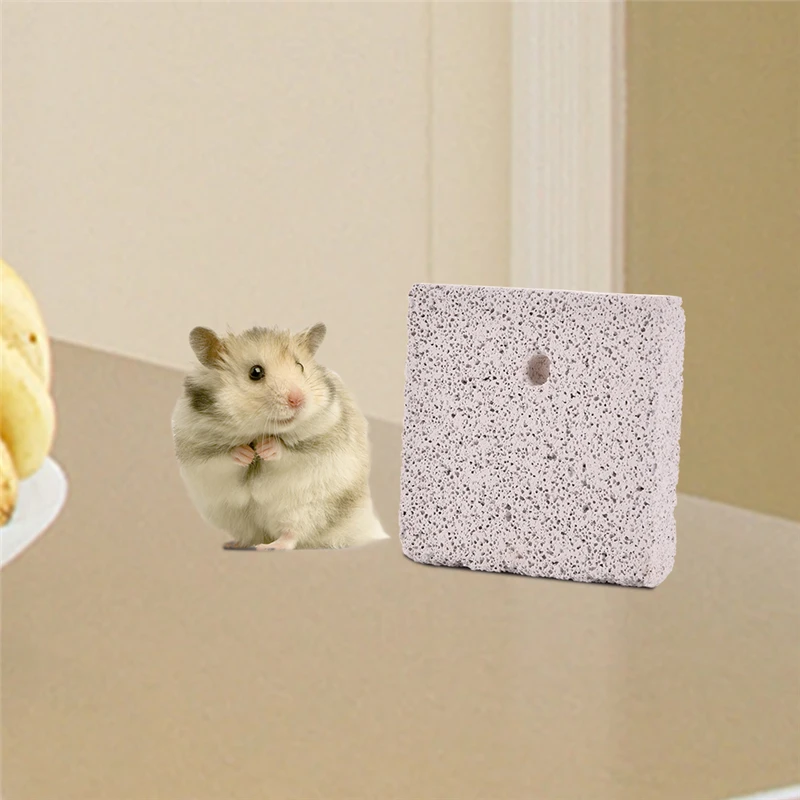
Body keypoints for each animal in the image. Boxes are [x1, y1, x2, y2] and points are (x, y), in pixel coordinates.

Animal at [171, 322, 389, 551]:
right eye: (255, 372)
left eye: (300, 366)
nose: (298, 400)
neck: (258, 431)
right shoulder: (197, 448)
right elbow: (223, 456)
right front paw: (246, 454)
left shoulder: (320, 439)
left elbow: (288, 450)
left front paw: (265, 449)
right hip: (235, 517)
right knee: (251, 535)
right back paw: (235, 544)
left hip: (306, 509)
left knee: (292, 534)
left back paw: (271, 546)